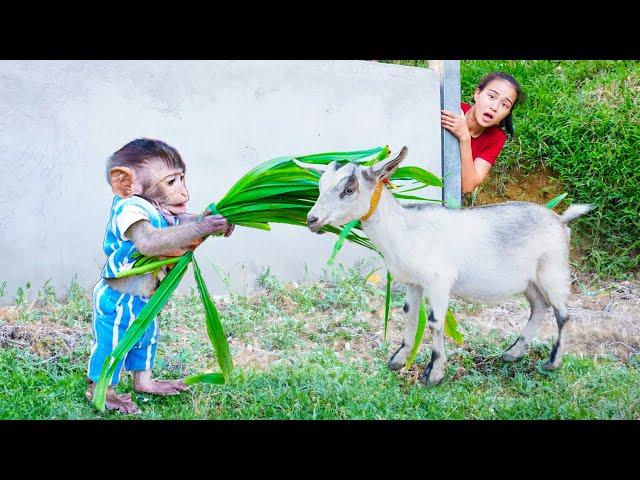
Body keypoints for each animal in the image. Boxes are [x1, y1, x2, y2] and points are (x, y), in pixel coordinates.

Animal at [86, 138, 232, 412]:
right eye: (171, 182)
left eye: (182, 178)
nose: (184, 193)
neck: (151, 204)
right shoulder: (130, 208)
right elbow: (149, 241)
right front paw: (207, 224)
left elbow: (179, 221)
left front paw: (218, 219)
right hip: (114, 317)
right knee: (109, 354)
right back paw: (104, 396)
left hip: (148, 323)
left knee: (144, 347)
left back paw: (149, 385)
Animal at [296, 146, 596, 386]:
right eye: (320, 186)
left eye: (349, 189)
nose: (312, 220)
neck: (404, 229)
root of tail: (560, 220)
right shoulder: (413, 283)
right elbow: (409, 314)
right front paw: (398, 359)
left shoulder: (438, 281)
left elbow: (434, 322)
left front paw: (434, 373)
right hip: (529, 280)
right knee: (539, 307)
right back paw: (513, 353)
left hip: (553, 270)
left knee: (563, 314)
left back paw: (552, 362)